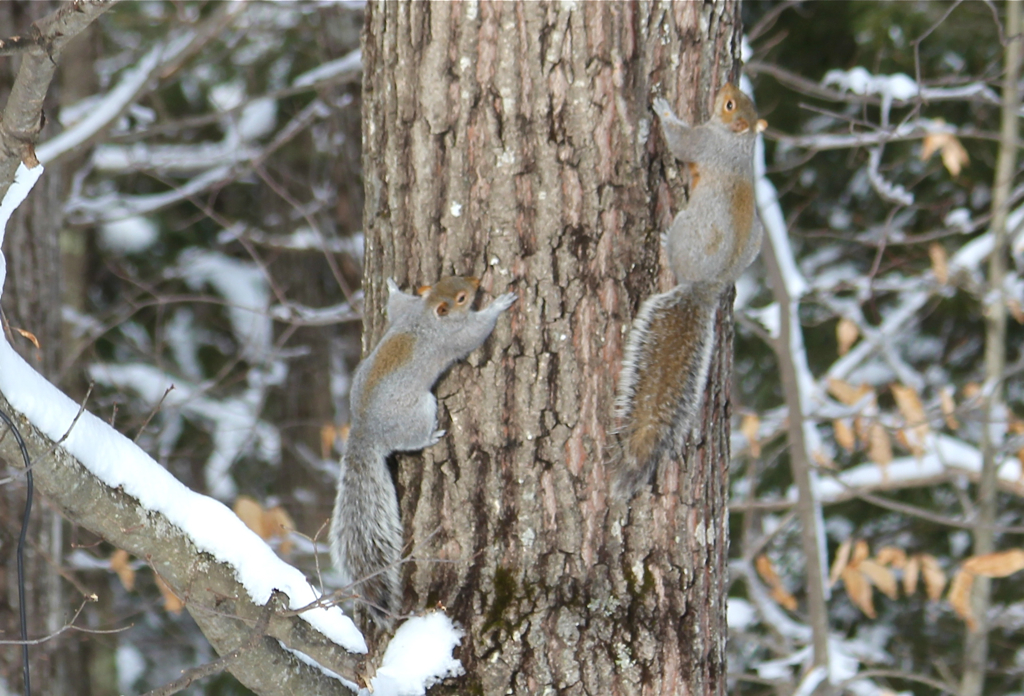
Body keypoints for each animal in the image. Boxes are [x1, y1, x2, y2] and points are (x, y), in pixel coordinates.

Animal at [331, 276, 516, 626]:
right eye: (461, 298)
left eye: (454, 279)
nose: (477, 281)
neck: (427, 315)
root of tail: (365, 430)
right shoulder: (453, 338)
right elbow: (477, 331)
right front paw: (499, 304)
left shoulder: (407, 310)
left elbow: (395, 305)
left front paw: (392, 287)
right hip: (421, 410)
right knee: (410, 440)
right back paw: (431, 437)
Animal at [606, 81, 770, 497]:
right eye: (737, 98)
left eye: (728, 105)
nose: (726, 84)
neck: (739, 142)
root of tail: (707, 287)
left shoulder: (703, 143)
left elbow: (681, 143)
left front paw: (663, 110)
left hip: (688, 229)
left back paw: (665, 242)